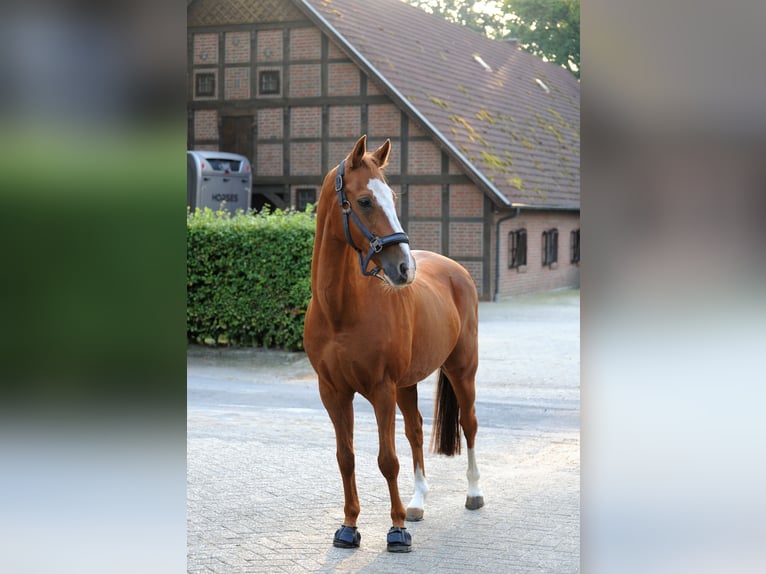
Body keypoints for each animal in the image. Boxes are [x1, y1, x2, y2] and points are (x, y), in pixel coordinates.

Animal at [304, 134, 484, 552]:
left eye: (393, 198)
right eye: (365, 201)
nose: (405, 268)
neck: (341, 311)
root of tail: (456, 270)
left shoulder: (381, 389)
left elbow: (387, 460)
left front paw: (397, 530)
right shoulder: (333, 392)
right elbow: (346, 457)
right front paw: (349, 527)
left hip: (461, 369)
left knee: (468, 424)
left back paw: (473, 493)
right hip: (408, 383)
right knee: (415, 430)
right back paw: (417, 502)